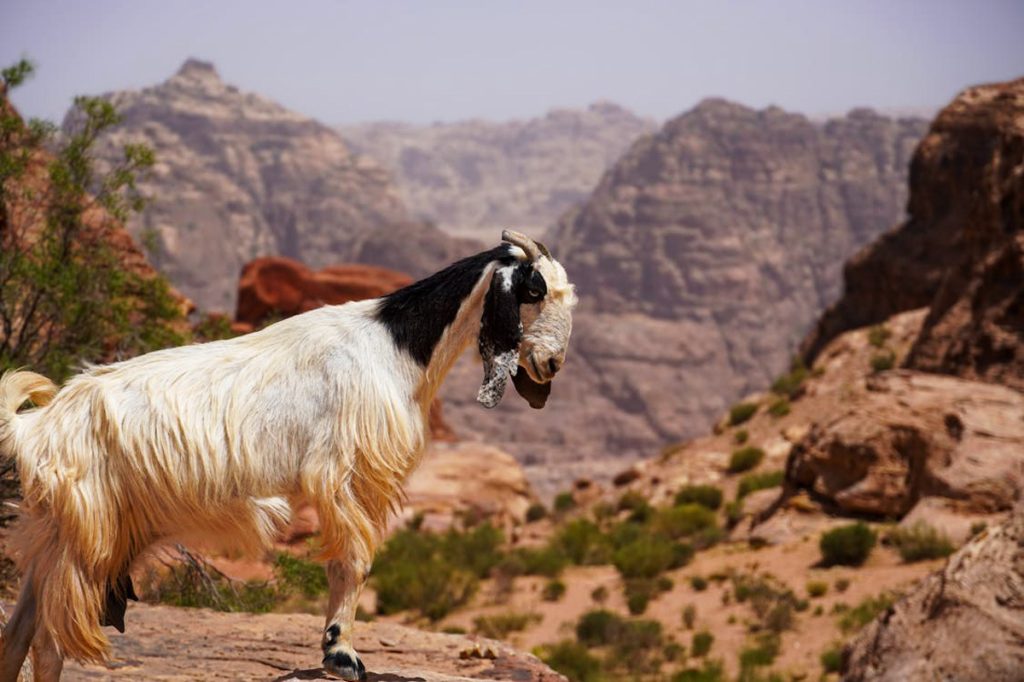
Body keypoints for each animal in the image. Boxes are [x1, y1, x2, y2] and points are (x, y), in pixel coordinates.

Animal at [0, 230, 576, 681]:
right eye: (534, 290)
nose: (550, 364)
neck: (395, 344)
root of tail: (36, 427)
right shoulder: (341, 473)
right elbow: (353, 561)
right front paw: (340, 654)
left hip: (52, 533)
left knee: (17, 634)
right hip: (86, 538)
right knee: (48, 646)